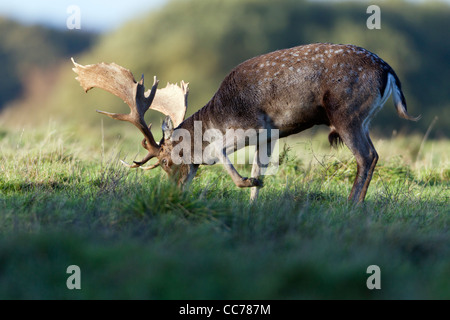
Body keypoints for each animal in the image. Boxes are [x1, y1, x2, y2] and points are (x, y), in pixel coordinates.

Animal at [72, 42, 420, 202]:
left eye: (168, 162)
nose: (174, 192)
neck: (220, 113)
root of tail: (388, 71)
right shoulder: (270, 136)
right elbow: (258, 166)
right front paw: (253, 202)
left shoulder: (254, 125)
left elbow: (219, 153)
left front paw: (248, 184)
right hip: (364, 118)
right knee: (371, 155)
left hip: (347, 114)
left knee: (367, 156)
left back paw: (352, 206)